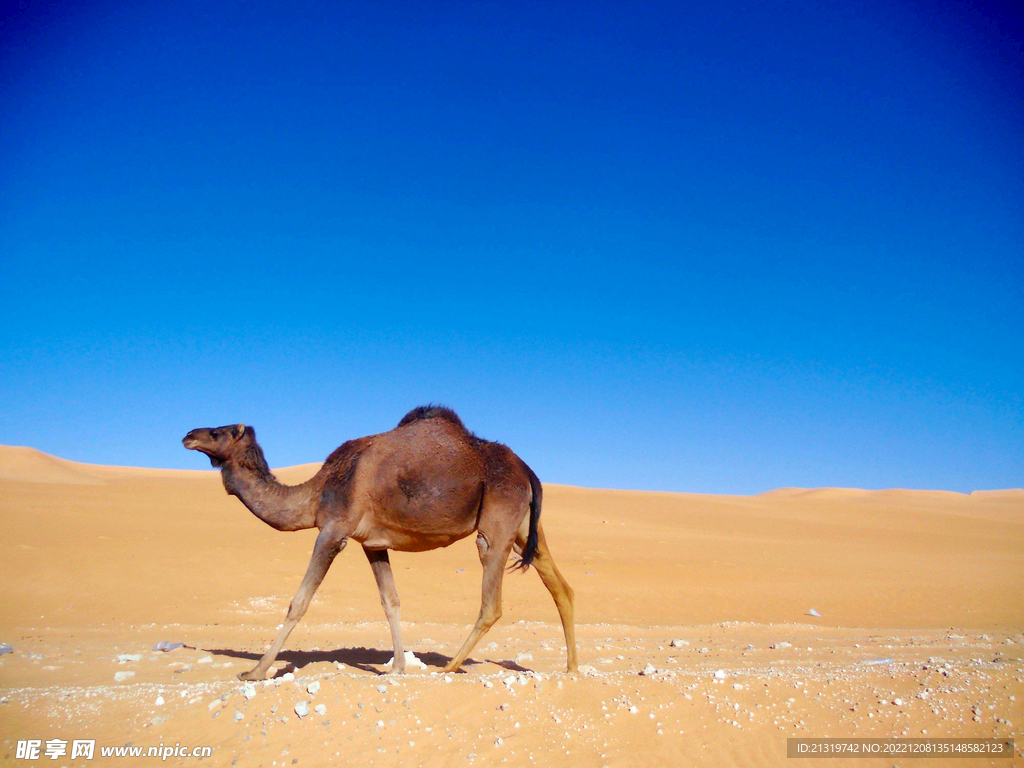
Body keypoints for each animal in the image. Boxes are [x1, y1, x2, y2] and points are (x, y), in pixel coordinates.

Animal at [182, 405, 577, 684]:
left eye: (217, 432)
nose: (188, 435)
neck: (316, 493)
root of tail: (528, 470)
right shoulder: (371, 543)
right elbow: (391, 601)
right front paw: (397, 667)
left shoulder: (333, 530)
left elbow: (299, 601)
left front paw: (255, 671)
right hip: (523, 528)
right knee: (560, 586)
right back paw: (572, 667)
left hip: (496, 521)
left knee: (491, 602)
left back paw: (449, 666)